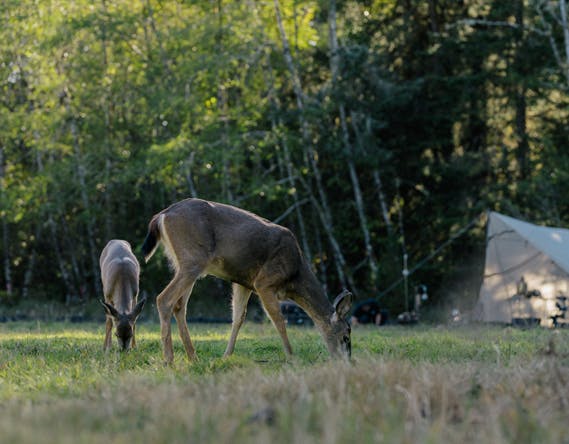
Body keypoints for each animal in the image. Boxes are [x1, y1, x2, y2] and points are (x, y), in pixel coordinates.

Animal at [140, 199, 352, 364]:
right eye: (346, 336)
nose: (347, 361)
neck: (295, 275)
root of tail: (162, 215)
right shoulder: (264, 282)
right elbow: (278, 319)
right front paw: (292, 357)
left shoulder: (243, 283)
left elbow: (238, 318)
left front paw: (226, 356)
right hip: (193, 260)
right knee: (164, 299)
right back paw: (169, 359)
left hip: (185, 264)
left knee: (179, 306)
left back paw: (193, 357)